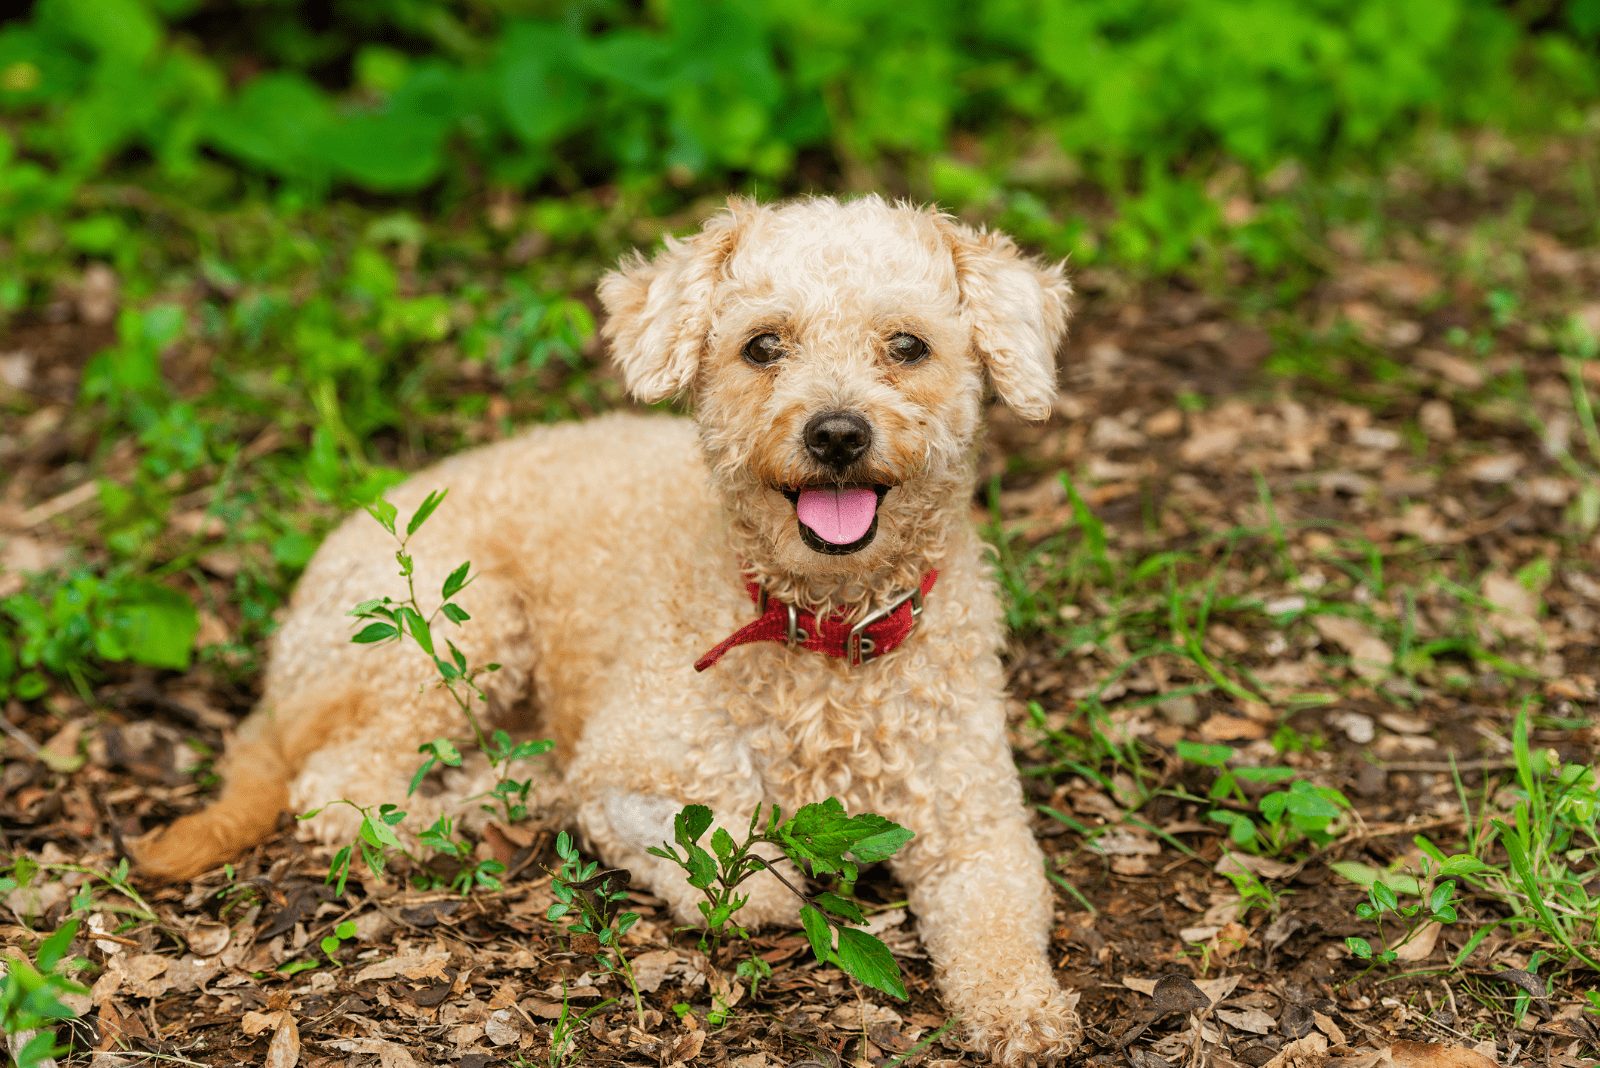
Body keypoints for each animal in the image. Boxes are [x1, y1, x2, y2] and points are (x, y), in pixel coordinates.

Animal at [144, 195, 1081, 1061]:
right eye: (763, 346)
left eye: (908, 346)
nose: (838, 433)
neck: (825, 628)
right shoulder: (627, 767)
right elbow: (736, 865)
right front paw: (764, 878)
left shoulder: (977, 822)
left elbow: (1003, 925)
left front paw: (1029, 1016)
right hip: (456, 634)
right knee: (347, 790)